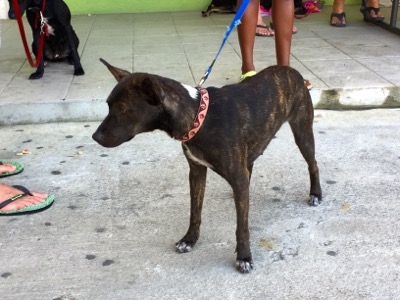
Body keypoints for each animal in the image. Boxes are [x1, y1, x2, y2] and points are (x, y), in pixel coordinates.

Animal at [91, 58, 322, 272]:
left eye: (123, 109)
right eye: (108, 105)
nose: (95, 137)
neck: (198, 116)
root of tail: (290, 70)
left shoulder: (235, 175)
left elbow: (242, 226)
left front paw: (244, 256)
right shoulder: (196, 172)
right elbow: (195, 211)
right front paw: (189, 240)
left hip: (302, 133)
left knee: (313, 164)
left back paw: (316, 194)